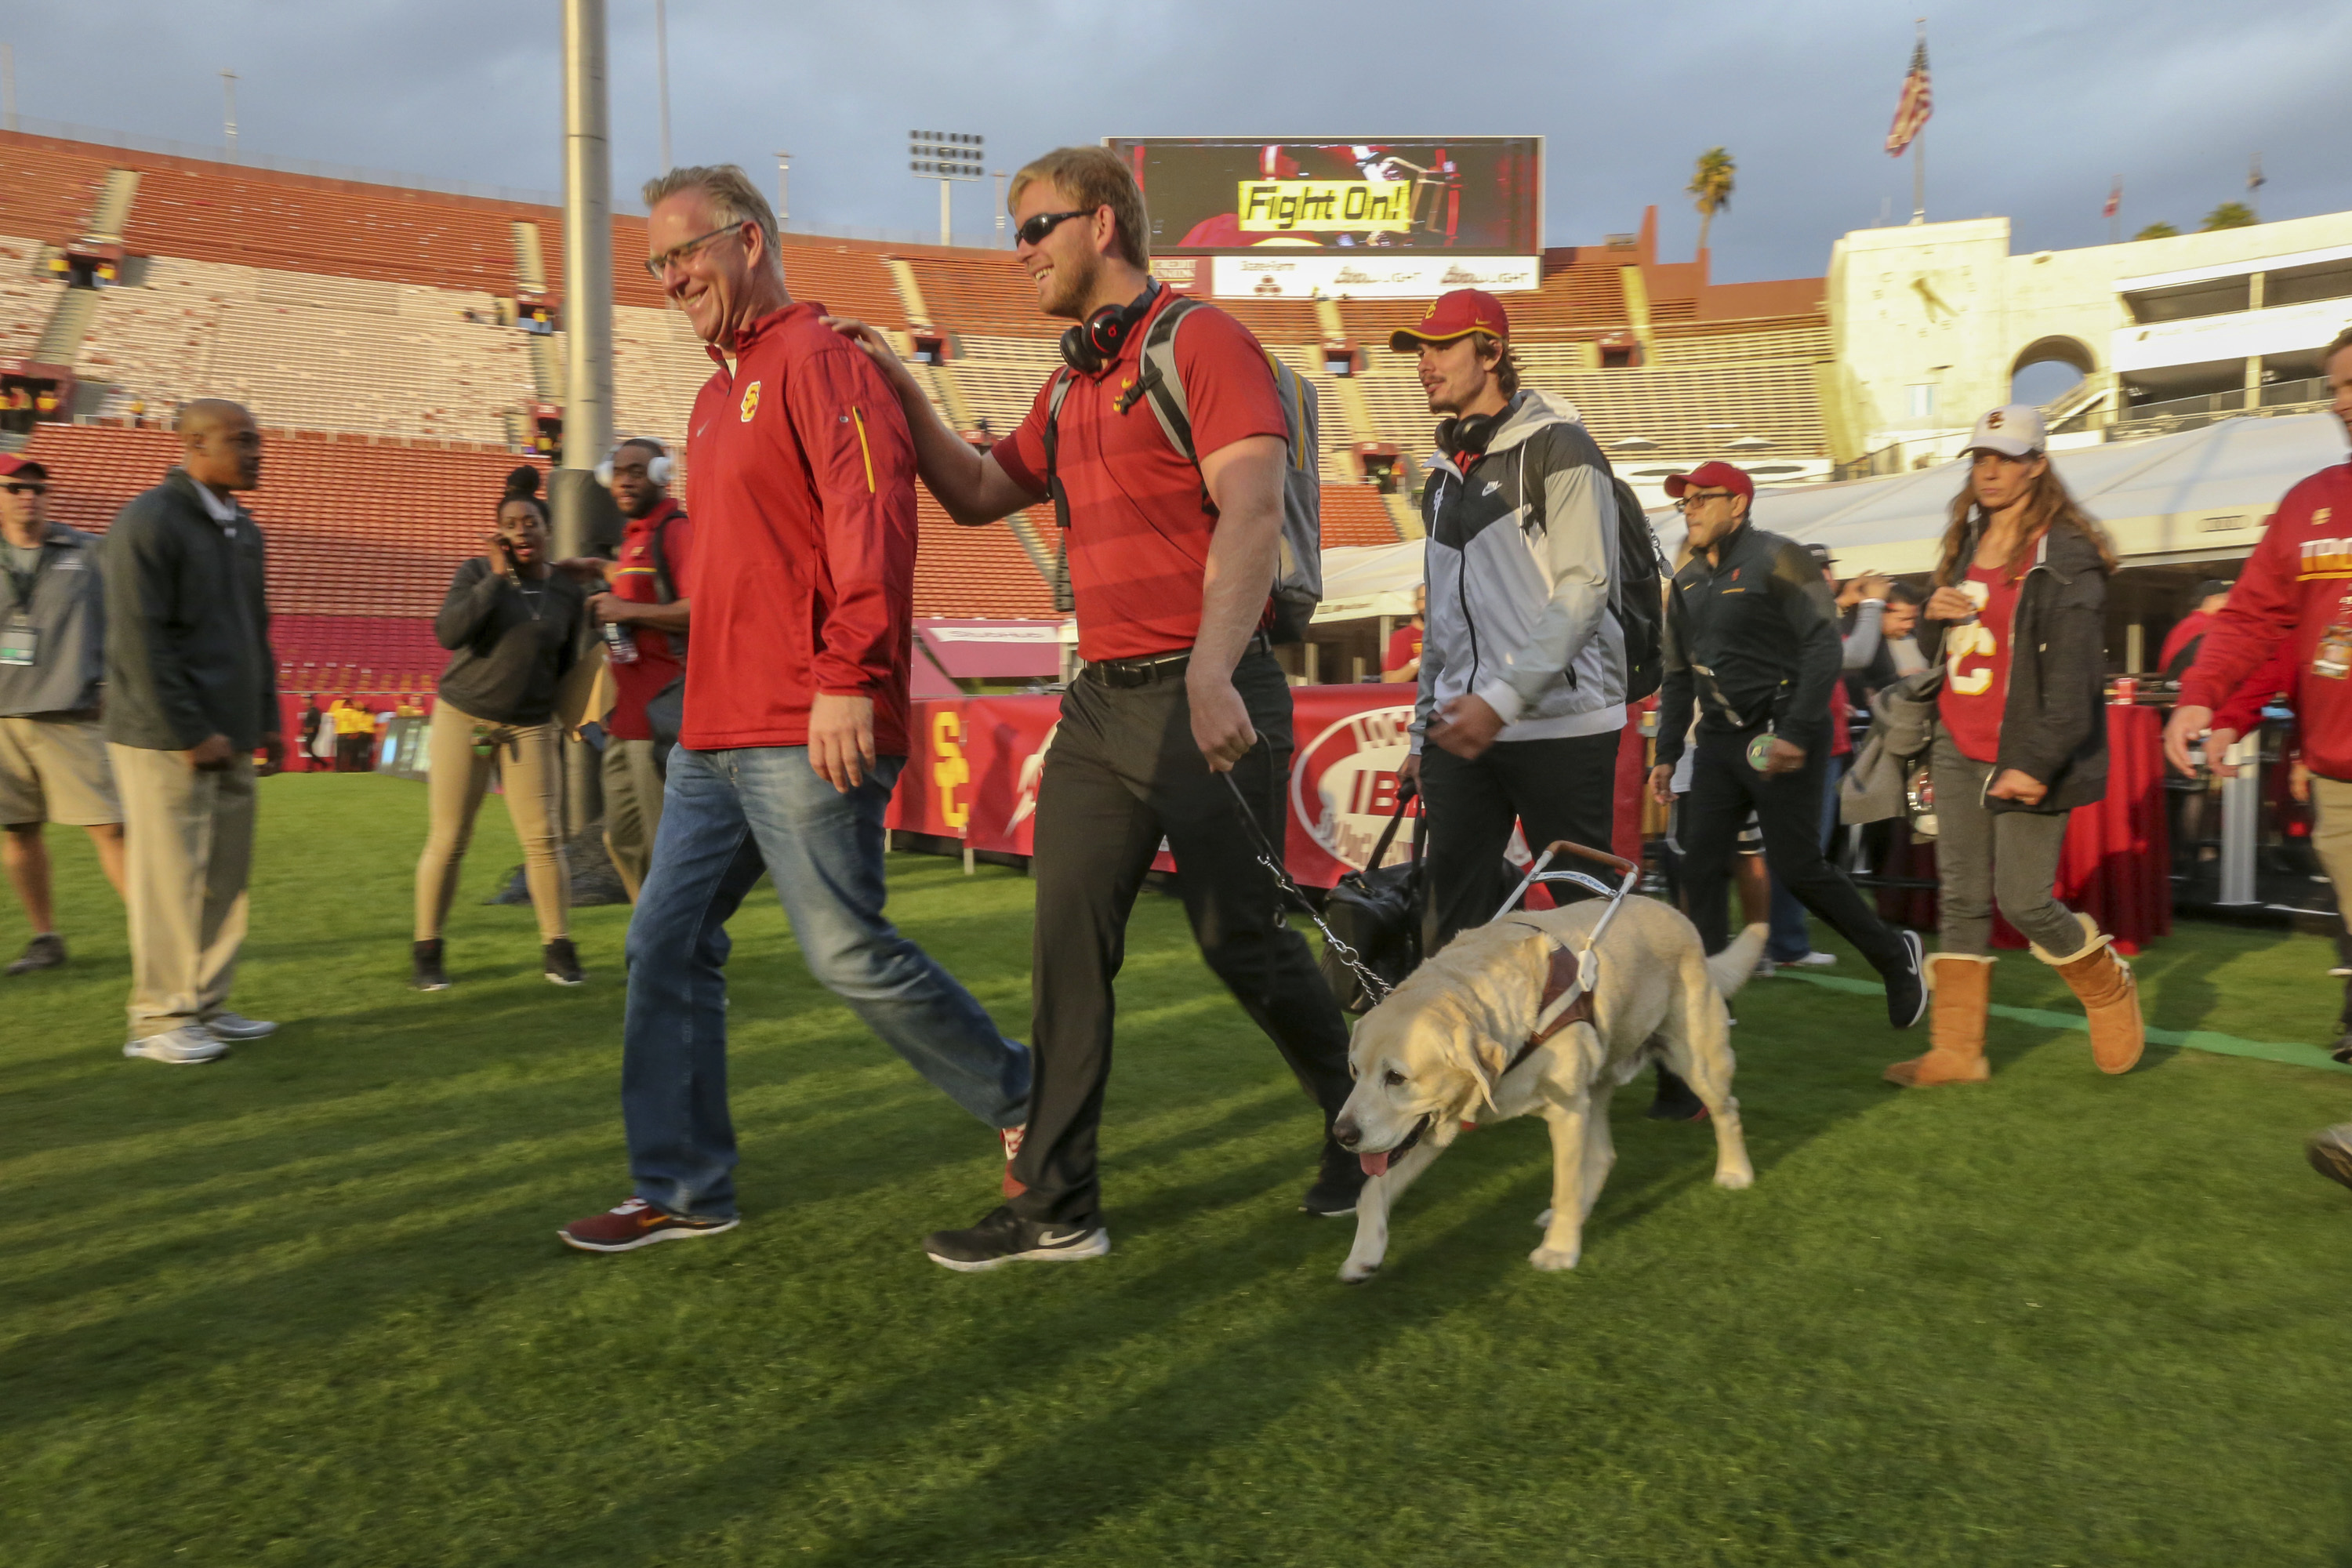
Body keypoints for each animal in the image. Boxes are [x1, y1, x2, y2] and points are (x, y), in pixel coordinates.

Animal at [1336, 893, 1759, 1288]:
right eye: (1354, 1070)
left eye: (1396, 1077)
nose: (1342, 1134)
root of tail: (1674, 911)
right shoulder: (1434, 1126)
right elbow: (1371, 1189)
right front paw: (1363, 1256)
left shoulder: (1566, 1110)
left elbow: (1565, 1186)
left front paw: (1558, 1251)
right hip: (1597, 1082)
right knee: (1603, 1155)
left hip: (1697, 1060)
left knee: (1728, 1108)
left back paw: (1735, 1172)